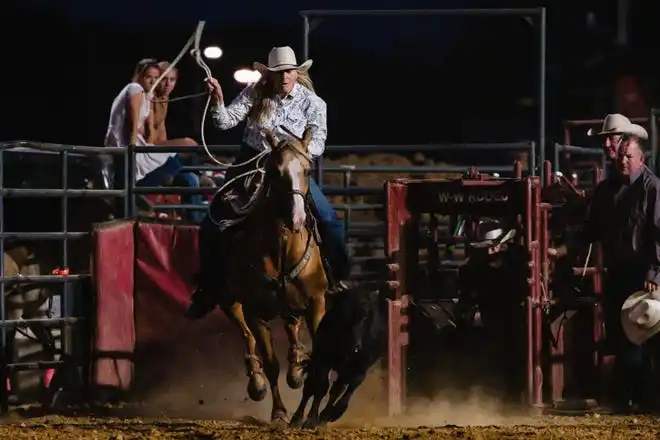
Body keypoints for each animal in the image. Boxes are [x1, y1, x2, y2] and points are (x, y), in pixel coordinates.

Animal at [214, 126, 330, 422]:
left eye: (307, 170)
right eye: (275, 171)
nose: (297, 219)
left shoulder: (317, 303)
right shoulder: (255, 311)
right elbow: (270, 362)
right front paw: (279, 412)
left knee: (291, 327)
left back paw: (297, 367)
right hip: (231, 303)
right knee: (247, 336)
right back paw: (257, 383)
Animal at [288, 284, 386, 428]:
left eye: (365, 315)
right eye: (342, 314)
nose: (354, 345)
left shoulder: (360, 369)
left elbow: (346, 393)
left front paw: (331, 414)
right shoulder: (323, 360)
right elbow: (319, 387)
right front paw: (311, 420)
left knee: (336, 390)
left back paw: (324, 417)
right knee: (310, 388)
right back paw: (297, 419)